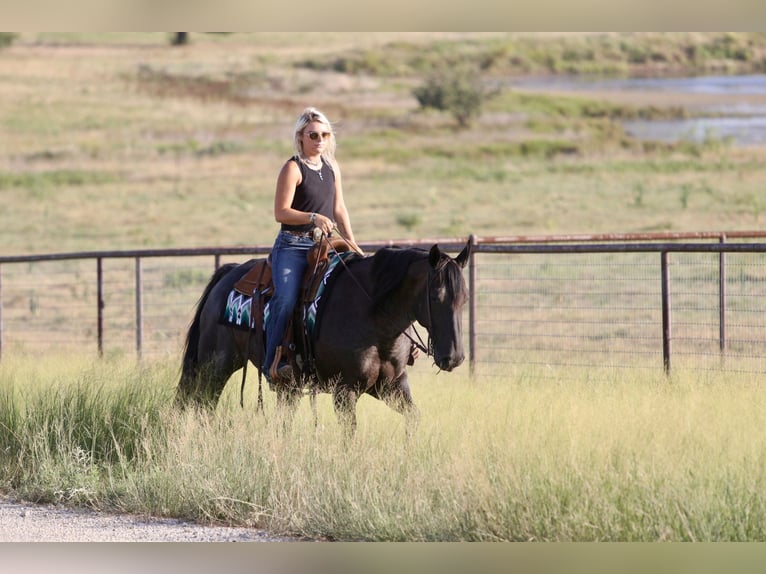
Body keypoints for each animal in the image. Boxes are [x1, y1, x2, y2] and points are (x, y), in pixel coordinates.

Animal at [175, 239, 471, 434]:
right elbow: (349, 433)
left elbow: (414, 418)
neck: (374, 315)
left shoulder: (392, 385)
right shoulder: (344, 391)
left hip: (287, 387)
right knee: (202, 404)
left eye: (465, 299)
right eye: (436, 296)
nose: (454, 358)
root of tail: (230, 273)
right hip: (215, 365)